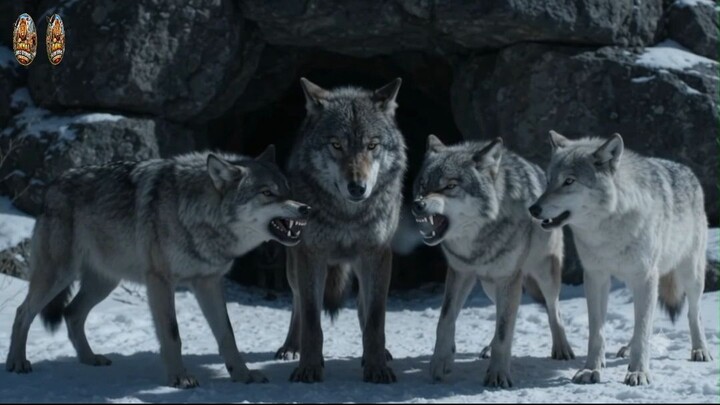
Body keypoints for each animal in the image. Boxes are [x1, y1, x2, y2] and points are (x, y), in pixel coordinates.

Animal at [5, 146, 311, 388]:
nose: (306, 208)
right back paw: (17, 363)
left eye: (288, 189)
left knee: (71, 313)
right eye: (267, 193)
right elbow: (172, 334)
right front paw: (180, 378)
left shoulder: (208, 283)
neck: (197, 213)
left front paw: (243, 375)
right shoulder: (160, 282)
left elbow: (227, 334)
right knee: (23, 312)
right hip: (58, 276)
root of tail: (52, 185)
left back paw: (90, 358)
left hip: (104, 283)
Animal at [274, 78, 407, 384]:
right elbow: (312, 320)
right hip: (293, 266)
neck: (347, 216)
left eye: (372, 145)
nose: (357, 187)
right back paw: (291, 347)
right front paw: (309, 368)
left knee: (362, 304)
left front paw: (377, 367)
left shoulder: (377, 254)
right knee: (297, 302)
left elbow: (375, 320)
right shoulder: (311, 255)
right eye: (336, 145)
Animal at [412, 135, 575, 388]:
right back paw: (487, 348)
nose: (417, 205)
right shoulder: (460, 272)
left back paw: (562, 348)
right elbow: (446, 319)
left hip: (544, 275)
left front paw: (498, 374)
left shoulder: (508, 279)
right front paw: (441, 361)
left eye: (450, 186)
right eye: (423, 185)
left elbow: (505, 330)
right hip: (490, 286)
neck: (478, 240)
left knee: (553, 308)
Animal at [529, 131, 712, 386]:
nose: (533, 209)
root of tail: (688, 171)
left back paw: (700, 350)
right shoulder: (596, 277)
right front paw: (591, 369)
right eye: (548, 180)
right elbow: (598, 332)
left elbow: (644, 329)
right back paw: (627, 348)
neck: (608, 229)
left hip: (691, 275)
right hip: (634, 281)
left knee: (694, 313)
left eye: (569, 181)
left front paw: (639, 372)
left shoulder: (645, 277)